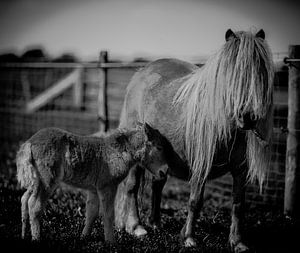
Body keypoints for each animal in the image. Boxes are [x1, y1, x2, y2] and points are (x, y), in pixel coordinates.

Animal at [16, 123, 168, 242]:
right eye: (159, 147)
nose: (164, 171)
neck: (118, 151)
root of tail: (29, 143)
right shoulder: (107, 187)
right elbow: (108, 214)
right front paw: (111, 242)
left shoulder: (93, 189)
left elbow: (92, 212)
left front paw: (84, 237)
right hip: (47, 181)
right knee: (35, 205)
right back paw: (37, 238)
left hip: (35, 181)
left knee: (24, 199)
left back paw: (23, 235)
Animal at [114, 28, 274, 252]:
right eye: (230, 73)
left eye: (259, 72)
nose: (248, 116)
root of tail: (141, 73)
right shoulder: (200, 167)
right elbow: (195, 201)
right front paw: (188, 238)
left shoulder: (240, 171)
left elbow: (238, 205)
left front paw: (237, 242)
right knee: (132, 187)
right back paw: (137, 227)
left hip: (159, 158)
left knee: (157, 184)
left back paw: (155, 223)